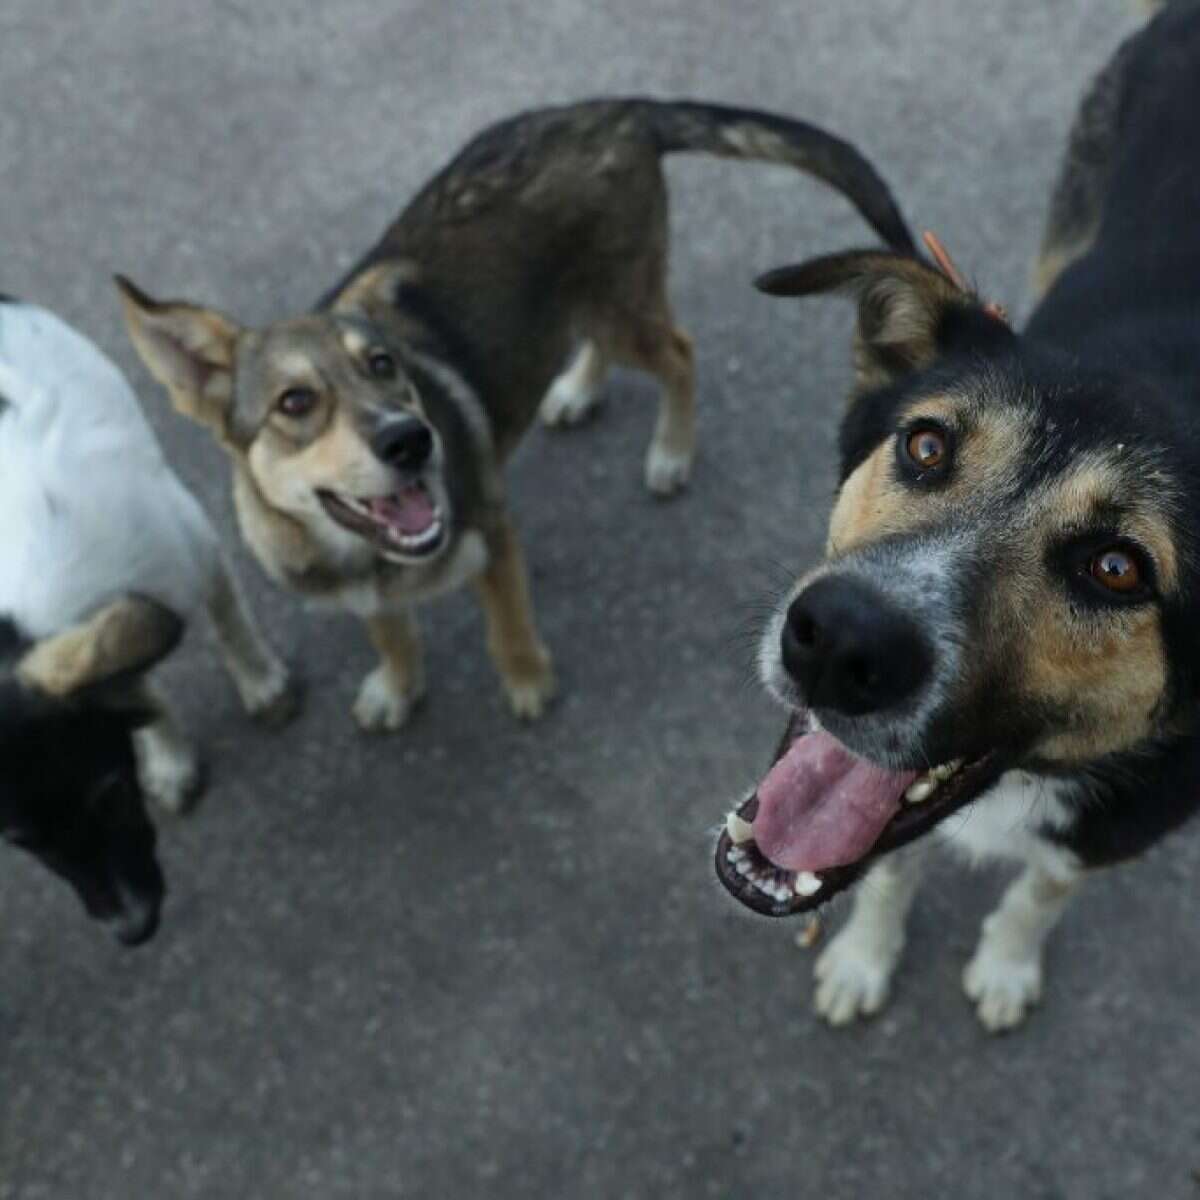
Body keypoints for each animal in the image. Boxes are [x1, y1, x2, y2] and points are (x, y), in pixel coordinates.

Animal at [119, 98, 907, 724]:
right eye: (295, 402)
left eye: (383, 366)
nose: (412, 442)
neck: (363, 550)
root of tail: (619, 110)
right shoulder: (367, 592)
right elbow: (392, 632)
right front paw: (398, 686)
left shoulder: (494, 537)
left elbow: (507, 625)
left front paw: (528, 682)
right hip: (582, 302)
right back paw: (578, 388)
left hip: (618, 302)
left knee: (679, 353)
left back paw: (670, 451)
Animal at [715, 2, 1200, 1032]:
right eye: (928, 446)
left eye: (1118, 568)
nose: (838, 640)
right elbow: (889, 872)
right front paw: (865, 959)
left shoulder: (1112, 831)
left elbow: (1039, 891)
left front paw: (1007, 965)